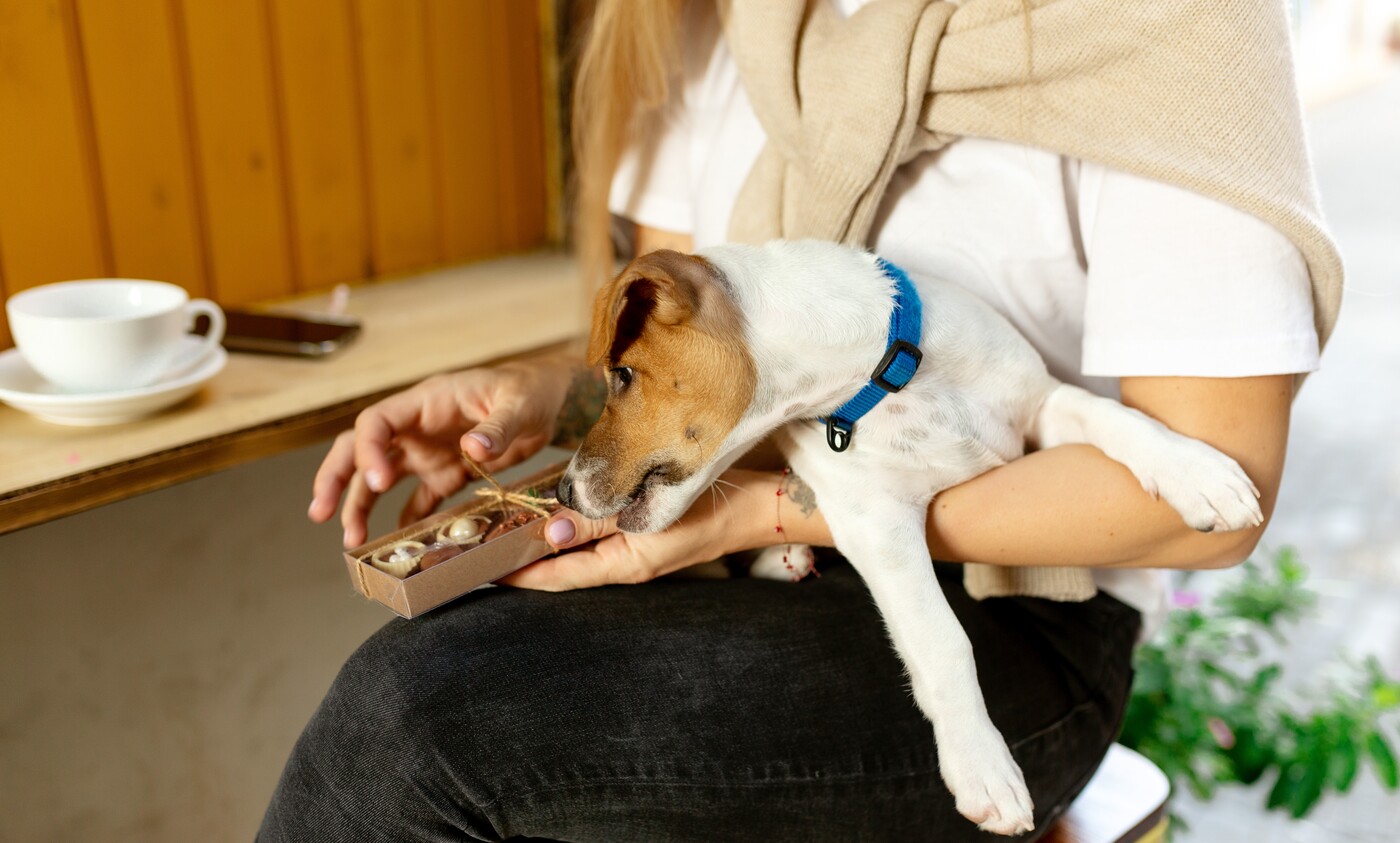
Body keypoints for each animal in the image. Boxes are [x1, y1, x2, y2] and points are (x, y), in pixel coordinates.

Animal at [554, 238, 1260, 834]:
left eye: (622, 375)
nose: (561, 493)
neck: (894, 378)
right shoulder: (878, 520)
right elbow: (942, 639)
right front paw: (981, 762)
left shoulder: (1043, 404)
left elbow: (1114, 414)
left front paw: (1196, 471)